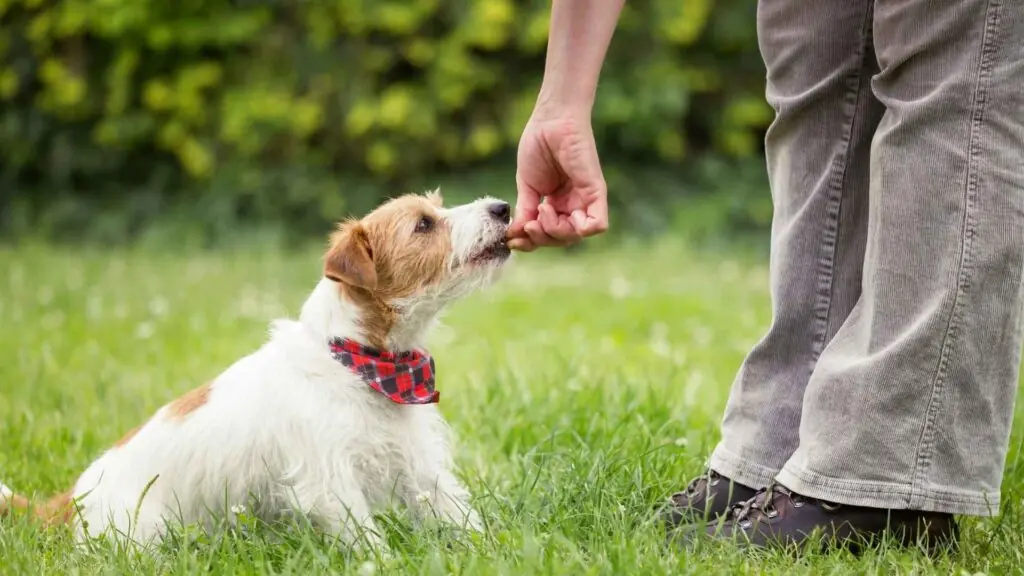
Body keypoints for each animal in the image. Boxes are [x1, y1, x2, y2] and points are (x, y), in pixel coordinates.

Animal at [0, 189, 512, 545]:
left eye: (437, 208)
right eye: (424, 224)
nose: (504, 207)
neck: (362, 362)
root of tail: (71, 500)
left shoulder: (420, 466)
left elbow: (458, 514)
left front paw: (492, 551)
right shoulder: (330, 481)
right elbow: (369, 541)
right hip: (145, 533)